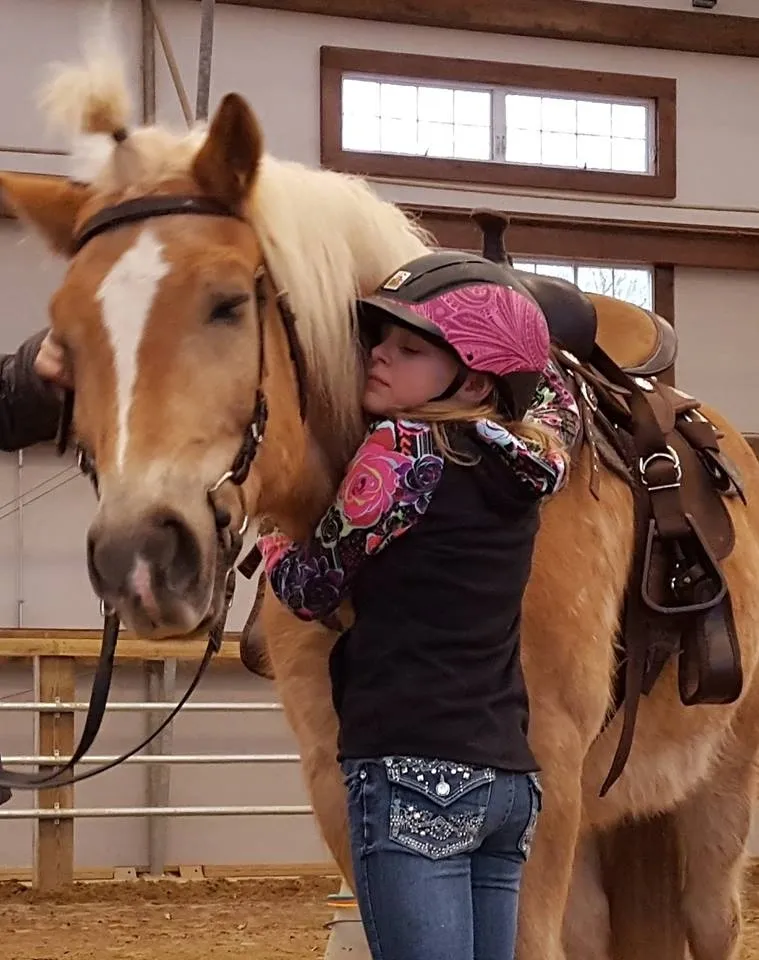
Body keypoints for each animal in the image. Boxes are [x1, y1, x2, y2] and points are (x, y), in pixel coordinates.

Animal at [1, 45, 759, 960]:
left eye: (227, 302)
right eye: (65, 341)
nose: (140, 558)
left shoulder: (540, 787)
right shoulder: (342, 785)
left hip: (713, 799)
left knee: (709, 919)